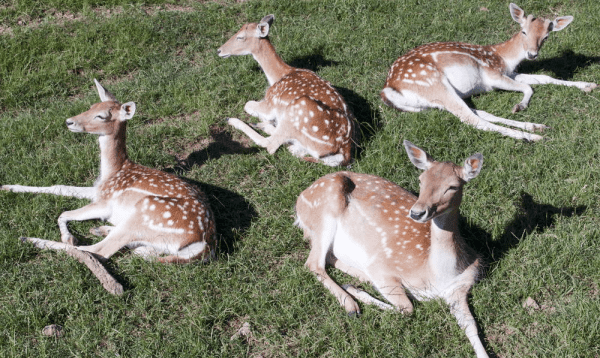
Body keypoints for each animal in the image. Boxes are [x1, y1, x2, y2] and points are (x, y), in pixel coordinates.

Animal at [1, 79, 217, 262]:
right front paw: (7, 187)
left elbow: (64, 213)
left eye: (102, 116)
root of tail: (204, 246)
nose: (69, 121)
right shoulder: (98, 190)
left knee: (97, 251)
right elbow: (59, 187)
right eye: (91, 106)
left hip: (146, 213)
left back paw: (30, 240)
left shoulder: (104, 203)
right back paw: (100, 229)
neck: (112, 172)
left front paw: (68, 237)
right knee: (140, 251)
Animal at [217, 13, 354, 165]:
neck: (278, 76)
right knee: (293, 149)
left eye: (240, 37)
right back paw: (261, 124)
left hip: (296, 112)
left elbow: (247, 105)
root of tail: (343, 154)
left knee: (270, 145)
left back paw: (235, 121)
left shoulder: (271, 101)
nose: (219, 50)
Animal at [294, 141, 488, 356]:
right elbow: (407, 308)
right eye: (421, 180)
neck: (438, 275)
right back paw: (351, 304)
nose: (417, 212)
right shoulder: (382, 266)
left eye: (453, 186)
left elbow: (472, 326)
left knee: (327, 257)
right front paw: (355, 291)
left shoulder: (460, 290)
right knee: (313, 263)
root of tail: (300, 199)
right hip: (324, 208)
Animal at [382, 3, 596, 143]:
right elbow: (528, 86)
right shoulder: (493, 76)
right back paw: (533, 136)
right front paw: (520, 105)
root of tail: (387, 91)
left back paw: (535, 126)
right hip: (433, 83)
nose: (532, 54)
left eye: (546, 36)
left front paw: (588, 85)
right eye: (524, 31)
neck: (504, 57)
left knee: (477, 112)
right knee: (473, 120)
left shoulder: (510, 73)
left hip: (428, 105)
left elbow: (543, 78)